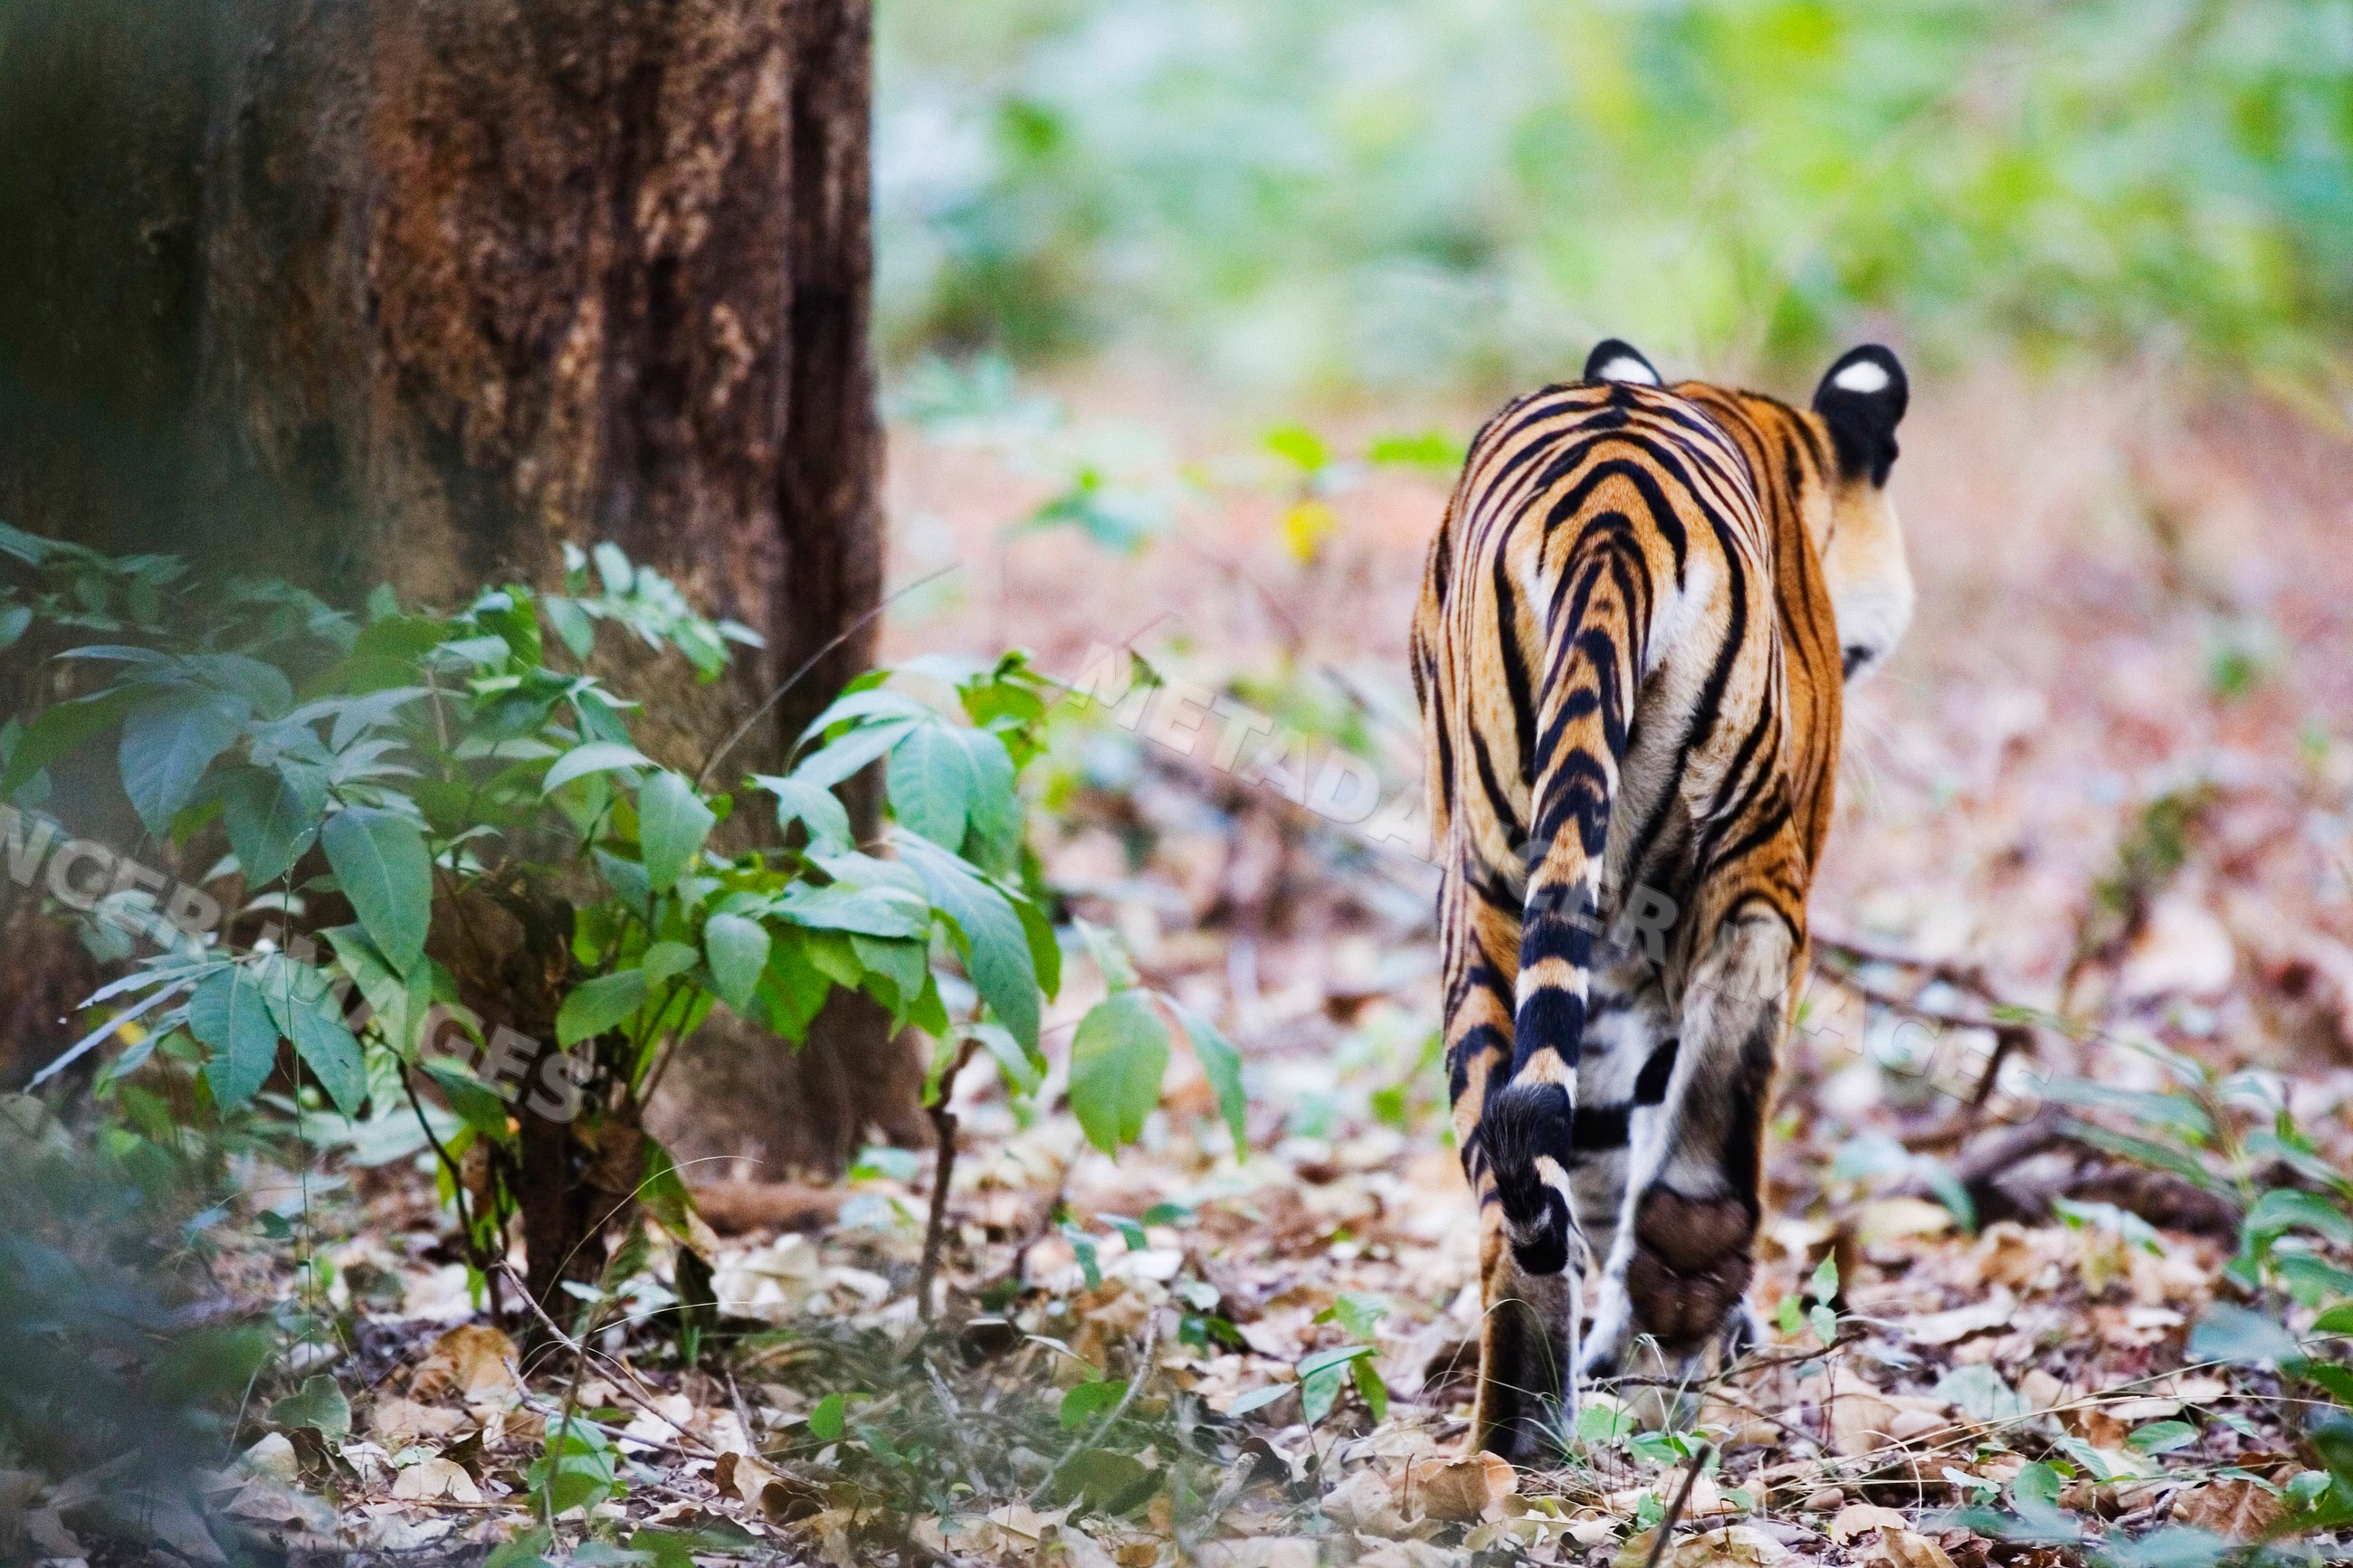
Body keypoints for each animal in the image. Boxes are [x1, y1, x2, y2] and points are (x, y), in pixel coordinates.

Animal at [1410, 337, 1914, 1462]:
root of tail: (1609, 518)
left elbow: (1594, 1138)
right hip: (1751, 856)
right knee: (1722, 1071)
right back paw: (1679, 1317)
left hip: (1492, 884)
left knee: (1509, 1174)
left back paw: (1519, 1424)